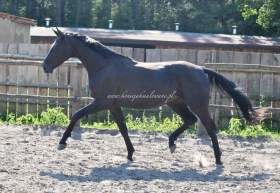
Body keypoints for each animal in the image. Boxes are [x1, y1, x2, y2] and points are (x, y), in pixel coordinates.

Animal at [43, 27, 264, 165]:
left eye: (55, 47)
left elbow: (76, 115)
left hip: (198, 105)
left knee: (210, 128)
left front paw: (62, 143)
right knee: (190, 120)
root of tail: (201, 69)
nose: (45, 66)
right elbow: (123, 129)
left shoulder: (101, 102)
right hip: (177, 103)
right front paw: (130, 154)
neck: (104, 66)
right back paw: (172, 144)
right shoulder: (113, 105)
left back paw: (218, 159)